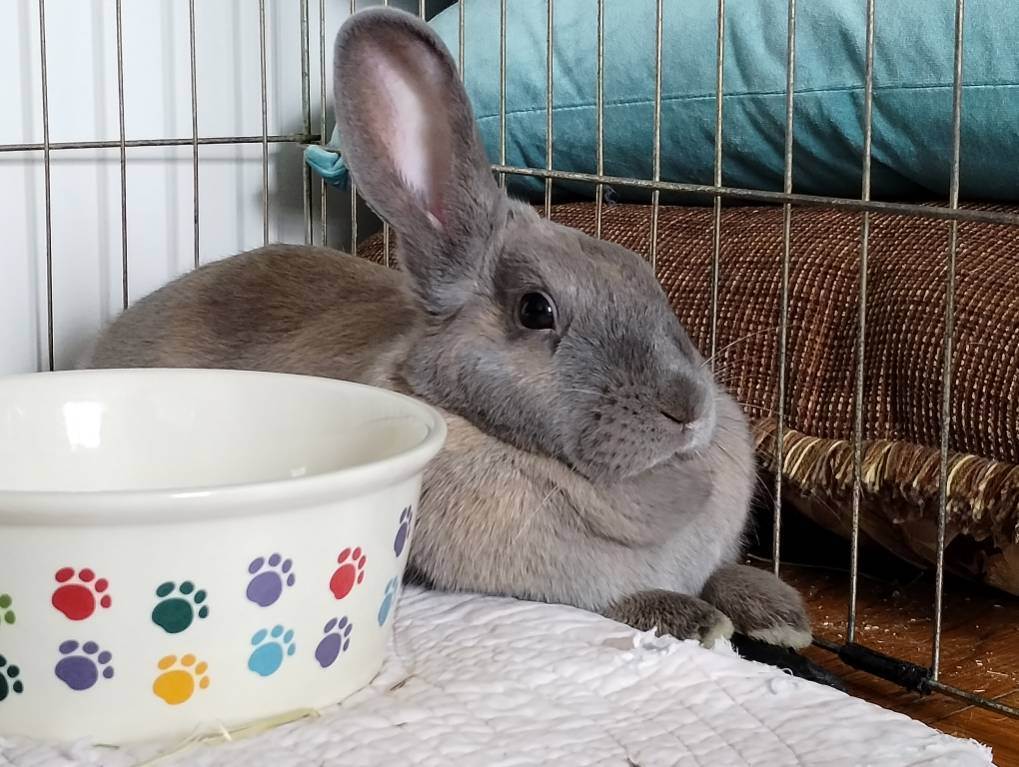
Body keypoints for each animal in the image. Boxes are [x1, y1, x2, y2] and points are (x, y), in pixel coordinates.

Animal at [89, 7, 811, 652]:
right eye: (536, 309)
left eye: (643, 273)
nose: (686, 409)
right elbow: (614, 599)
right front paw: (695, 619)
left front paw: (779, 614)